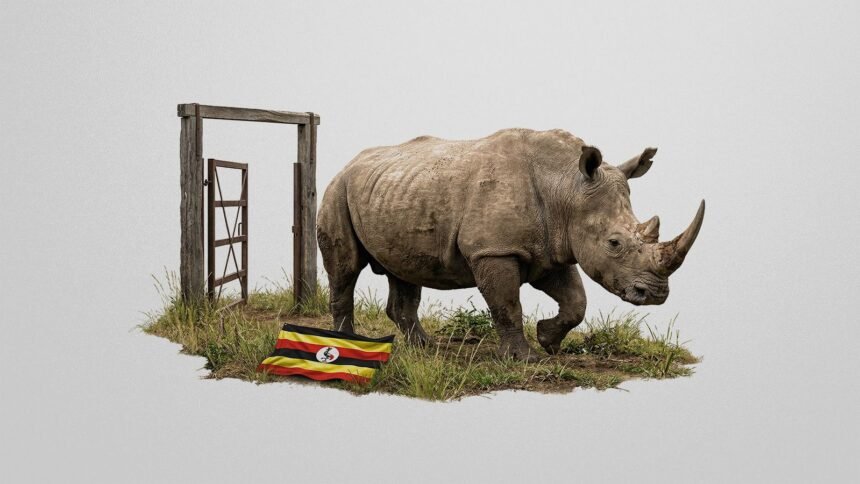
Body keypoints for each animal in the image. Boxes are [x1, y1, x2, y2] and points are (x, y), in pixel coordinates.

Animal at [317, 128, 704, 361]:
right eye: (614, 243)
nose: (655, 295)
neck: (566, 186)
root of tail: (350, 162)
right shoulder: (494, 250)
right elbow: (507, 304)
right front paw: (524, 358)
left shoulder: (551, 249)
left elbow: (576, 301)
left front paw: (548, 341)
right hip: (337, 189)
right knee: (345, 267)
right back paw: (345, 343)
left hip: (396, 191)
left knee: (404, 270)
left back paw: (426, 348)